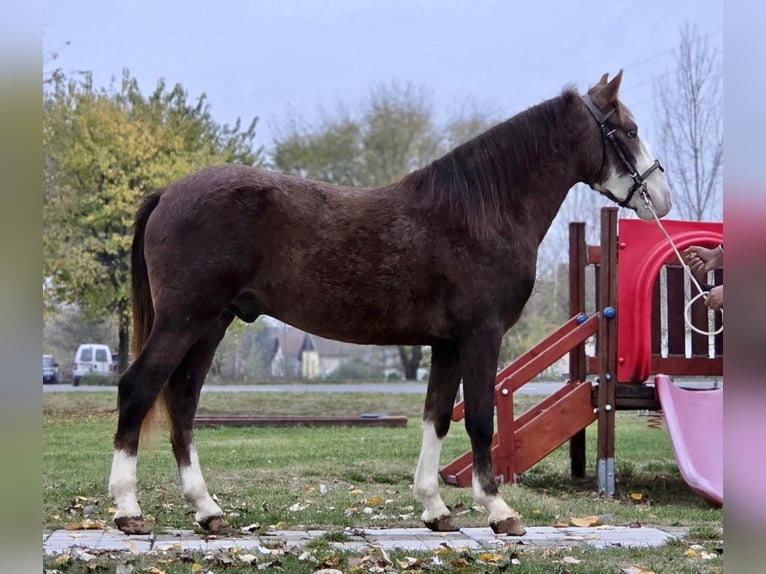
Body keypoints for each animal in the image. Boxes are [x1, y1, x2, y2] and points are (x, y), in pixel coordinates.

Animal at [108, 71, 671, 536]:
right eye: (628, 130)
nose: (661, 198)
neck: (482, 211)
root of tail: (168, 193)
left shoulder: (446, 344)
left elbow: (437, 417)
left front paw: (436, 510)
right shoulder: (481, 335)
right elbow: (480, 418)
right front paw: (499, 511)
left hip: (211, 323)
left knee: (182, 399)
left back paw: (207, 510)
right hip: (186, 319)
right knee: (139, 387)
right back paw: (129, 510)